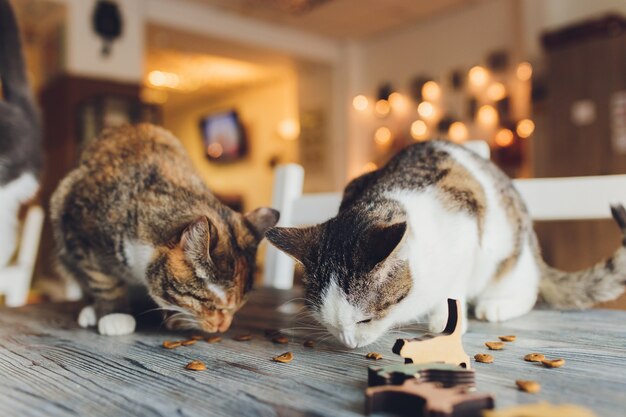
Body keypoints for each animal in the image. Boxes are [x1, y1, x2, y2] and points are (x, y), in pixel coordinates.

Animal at [51, 123, 278, 334]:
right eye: (208, 303)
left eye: (238, 307)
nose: (223, 328)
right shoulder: (77, 225)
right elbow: (103, 281)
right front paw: (114, 314)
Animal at [264, 140, 624, 348]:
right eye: (329, 323)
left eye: (365, 321)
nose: (348, 343)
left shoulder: (468, 232)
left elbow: (455, 285)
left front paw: (447, 319)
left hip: (510, 255)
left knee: (527, 290)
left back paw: (496, 305)